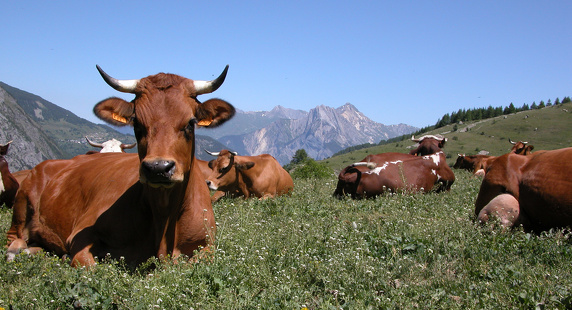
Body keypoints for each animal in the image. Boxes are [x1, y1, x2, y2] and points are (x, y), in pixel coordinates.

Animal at [6, 65, 235, 266]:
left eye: (191, 122)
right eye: (136, 123)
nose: (158, 168)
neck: (164, 216)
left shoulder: (208, 245)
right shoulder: (81, 235)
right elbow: (87, 265)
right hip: (22, 202)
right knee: (14, 236)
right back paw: (17, 250)